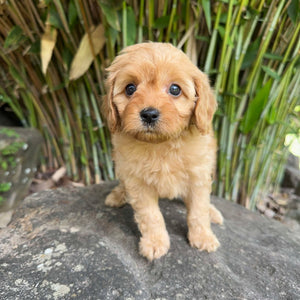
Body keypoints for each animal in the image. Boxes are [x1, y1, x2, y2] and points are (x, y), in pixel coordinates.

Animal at [103, 42, 223, 260]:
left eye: (175, 89)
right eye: (130, 88)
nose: (149, 114)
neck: (161, 144)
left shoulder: (198, 175)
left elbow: (198, 211)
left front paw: (203, 237)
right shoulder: (137, 182)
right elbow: (151, 216)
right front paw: (155, 243)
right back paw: (117, 195)